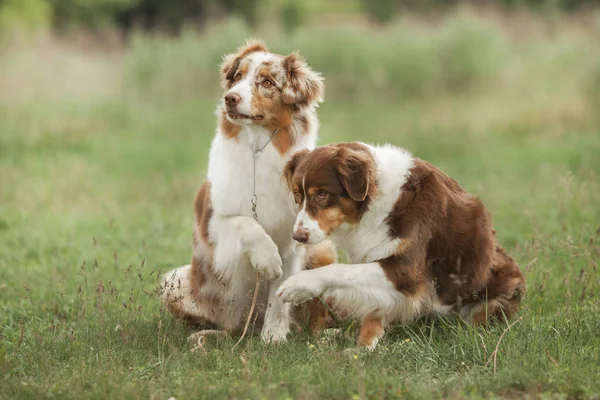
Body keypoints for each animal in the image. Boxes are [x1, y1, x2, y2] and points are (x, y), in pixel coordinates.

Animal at [159, 39, 336, 342]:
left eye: (266, 82)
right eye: (238, 76)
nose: (230, 98)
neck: (257, 150)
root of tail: (247, 327)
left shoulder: (295, 240)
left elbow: (280, 295)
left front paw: (274, 337)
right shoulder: (213, 222)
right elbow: (247, 224)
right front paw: (267, 260)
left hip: (324, 252)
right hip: (176, 282)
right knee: (220, 323)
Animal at [276, 142, 524, 348]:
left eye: (322, 194)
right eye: (298, 196)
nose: (298, 237)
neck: (375, 203)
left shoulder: (407, 270)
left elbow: (339, 270)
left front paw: (297, 284)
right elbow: (373, 309)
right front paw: (362, 348)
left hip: (498, 294)